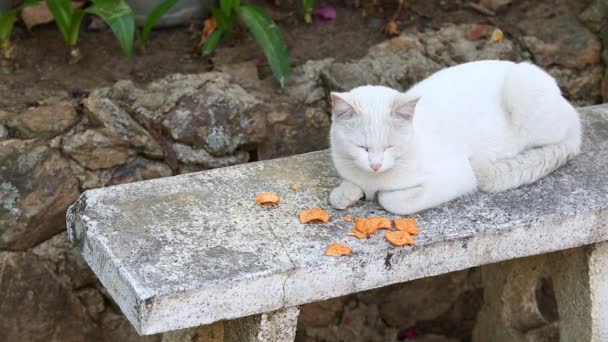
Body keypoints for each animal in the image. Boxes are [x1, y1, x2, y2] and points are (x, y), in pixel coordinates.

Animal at [330, 58, 580, 214]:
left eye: (389, 146)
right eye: (362, 147)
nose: (375, 165)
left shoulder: (457, 176)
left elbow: (392, 200)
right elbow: (343, 191)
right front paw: (345, 194)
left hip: (526, 89)